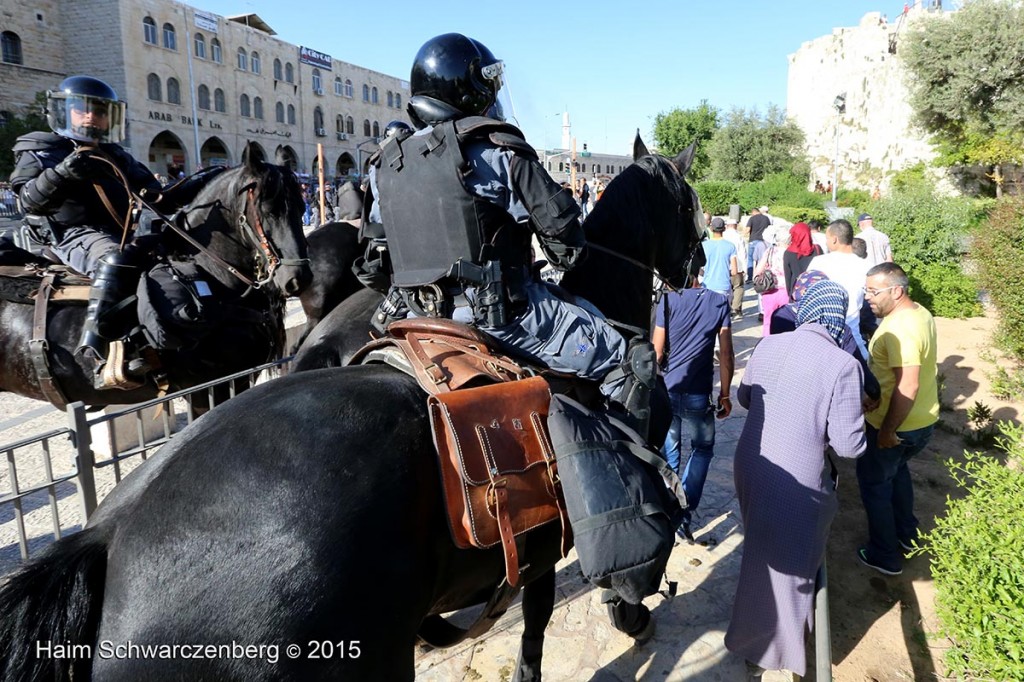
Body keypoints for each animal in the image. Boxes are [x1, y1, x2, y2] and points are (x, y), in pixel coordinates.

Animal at [0, 142, 311, 403]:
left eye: (301, 205)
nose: (297, 278)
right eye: (268, 211)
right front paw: (71, 166)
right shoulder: (206, 388)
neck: (213, 279)